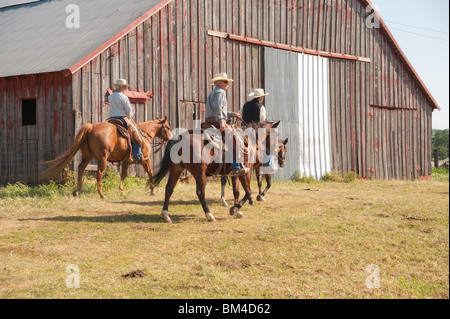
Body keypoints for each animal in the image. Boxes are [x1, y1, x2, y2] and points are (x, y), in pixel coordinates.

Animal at [40, 116, 172, 199]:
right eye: (168, 127)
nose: (170, 138)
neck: (144, 134)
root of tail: (91, 127)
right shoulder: (145, 160)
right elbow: (150, 173)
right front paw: (152, 190)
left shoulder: (126, 162)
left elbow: (123, 175)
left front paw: (122, 192)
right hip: (102, 158)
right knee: (99, 173)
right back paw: (101, 194)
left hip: (87, 156)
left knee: (81, 168)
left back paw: (78, 191)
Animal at [149, 121, 280, 224]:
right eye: (277, 134)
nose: (277, 150)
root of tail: (180, 138)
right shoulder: (245, 172)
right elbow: (248, 192)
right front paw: (235, 208)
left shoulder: (235, 174)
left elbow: (236, 192)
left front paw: (238, 211)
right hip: (199, 172)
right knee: (200, 192)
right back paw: (209, 215)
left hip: (177, 168)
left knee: (169, 189)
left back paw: (165, 215)